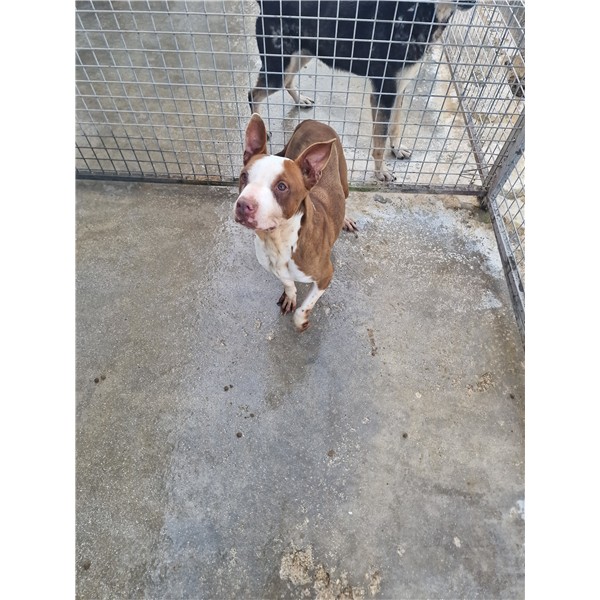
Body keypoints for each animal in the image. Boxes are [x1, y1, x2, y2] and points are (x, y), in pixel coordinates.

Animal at [234, 114, 355, 331]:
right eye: (244, 176)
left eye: (282, 186)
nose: (243, 204)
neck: (278, 240)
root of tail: (312, 121)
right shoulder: (276, 269)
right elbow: (289, 284)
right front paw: (290, 296)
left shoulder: (326, 275)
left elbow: (303, 310)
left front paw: (302, 321)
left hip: (344, 181)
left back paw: (346, 219)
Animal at [248, 0, 476, 182]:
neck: (417, 13)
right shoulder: (384, 93)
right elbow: (379, 140)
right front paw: (381, 171)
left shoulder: (398, 89)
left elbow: (395, 126)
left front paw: (396, 148)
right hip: (278, 67)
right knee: (253, 95)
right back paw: (260, 125)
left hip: (300, 55)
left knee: (287, 81)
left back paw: (299, 99)